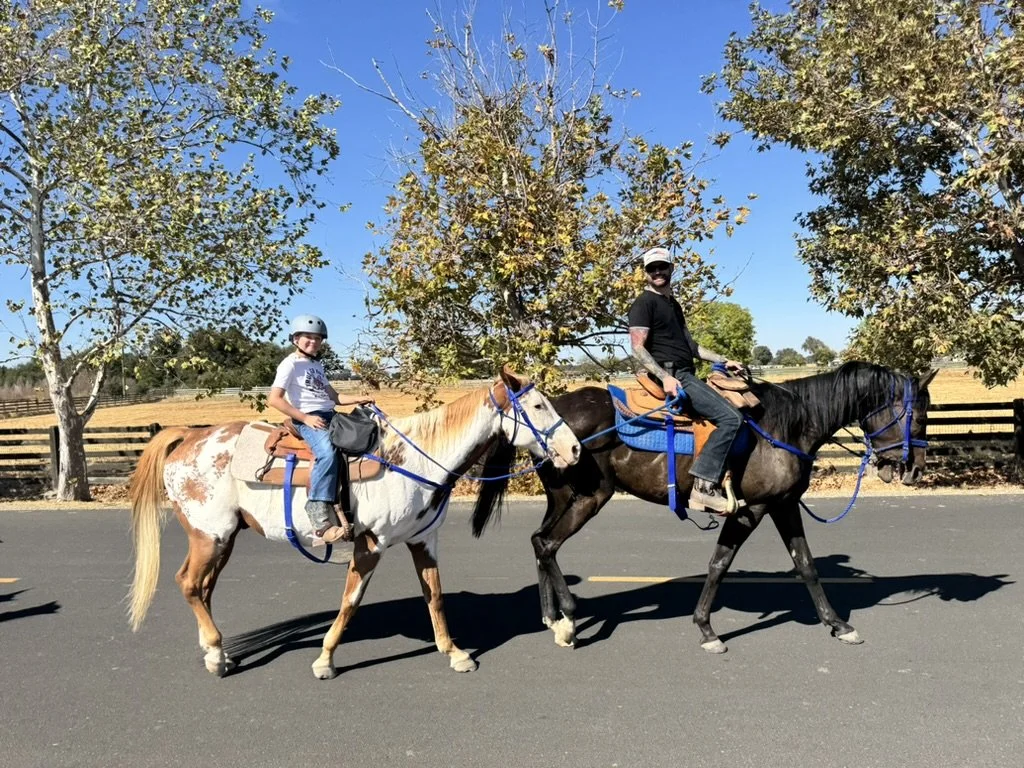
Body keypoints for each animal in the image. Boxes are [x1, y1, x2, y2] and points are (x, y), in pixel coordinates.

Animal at [126, 366, 581, 679]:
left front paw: (454, 653)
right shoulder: (371, 544)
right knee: (189, 584)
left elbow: (434, 597)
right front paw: (325, 660)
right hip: (210, 535)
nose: (575, 449)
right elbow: (350, 602)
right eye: (537, 406)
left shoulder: (423, 541)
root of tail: (189, 436)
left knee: (203, 588)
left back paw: (216, 653)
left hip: (224, 538)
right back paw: (218, 656)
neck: (415, 461)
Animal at [471, 361, 937, 653]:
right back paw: (567, 621)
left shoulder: (784, 505)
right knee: (547, 544)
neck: (787, 425)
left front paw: (838, 624)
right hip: (588, 498)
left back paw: (550, 617)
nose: (914, 469)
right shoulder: (751, 509)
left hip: (563, 499)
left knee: (538, 541)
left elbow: (805, 564)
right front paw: (706, 629)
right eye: (918, 416)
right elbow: (719, 564)